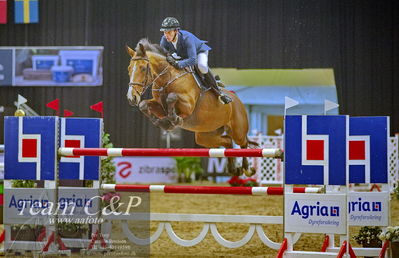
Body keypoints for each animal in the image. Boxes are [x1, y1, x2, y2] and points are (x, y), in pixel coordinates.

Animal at [126, 38, 260, 177]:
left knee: (243, 143)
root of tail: (237, 100)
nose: (131, 98)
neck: (167, 78)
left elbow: (171, 98)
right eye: (129, 69)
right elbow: (143, 105)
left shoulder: (188, 105)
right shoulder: (159, 107)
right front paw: (161, 122)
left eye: (142, 68)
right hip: (205, 136)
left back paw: (247, 169)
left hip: (238, 131)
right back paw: (234, 169)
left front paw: (173, 121)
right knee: (228, 141)